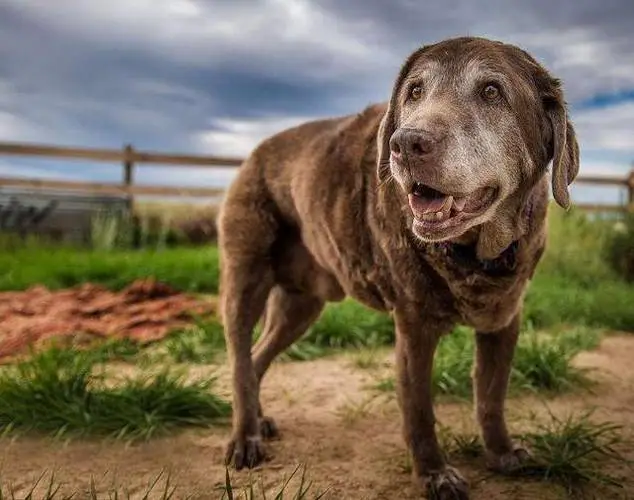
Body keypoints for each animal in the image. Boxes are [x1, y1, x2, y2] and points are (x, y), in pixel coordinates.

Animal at [216, 36, 576, 500]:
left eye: (492, 92)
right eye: (414, 92)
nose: (405, 143)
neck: (475, 254)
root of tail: (254, 152)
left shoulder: (504, 320)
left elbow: (491, 398)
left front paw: (502, 454)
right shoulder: (413, 326)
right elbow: (419, 409)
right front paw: (435, 475)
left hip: (300, 307)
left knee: (257, 357)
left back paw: (258, 421)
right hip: (244, 279)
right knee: (240, 359)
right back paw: (245, 437)